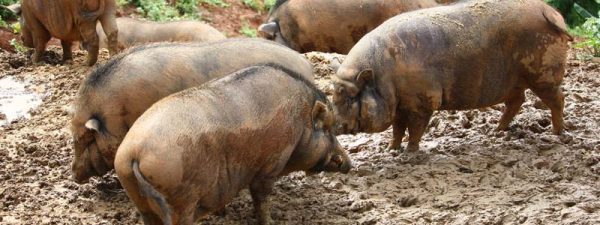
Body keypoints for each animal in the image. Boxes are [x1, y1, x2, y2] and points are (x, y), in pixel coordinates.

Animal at [115, 64, 352, 225]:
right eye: (328, 128)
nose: (348, 163)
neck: (301, 121)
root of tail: (134, 153)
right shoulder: (270, 164)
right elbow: (261, 197)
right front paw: (270, 221)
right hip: (180, 199)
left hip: (139, 197)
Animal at [332, 0, 572, 152]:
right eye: (335, 93)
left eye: (349, 96)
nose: (333, 124)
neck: (384, 77)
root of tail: (551, 13)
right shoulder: (400, 105)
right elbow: (397, 128)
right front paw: (391, 149)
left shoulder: (424, 100)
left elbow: (415, 127)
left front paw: (410, 152)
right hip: (514, 82)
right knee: (517, 101)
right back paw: (497, 131)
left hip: (543, 75)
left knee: (557, 98)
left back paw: (558, 133)